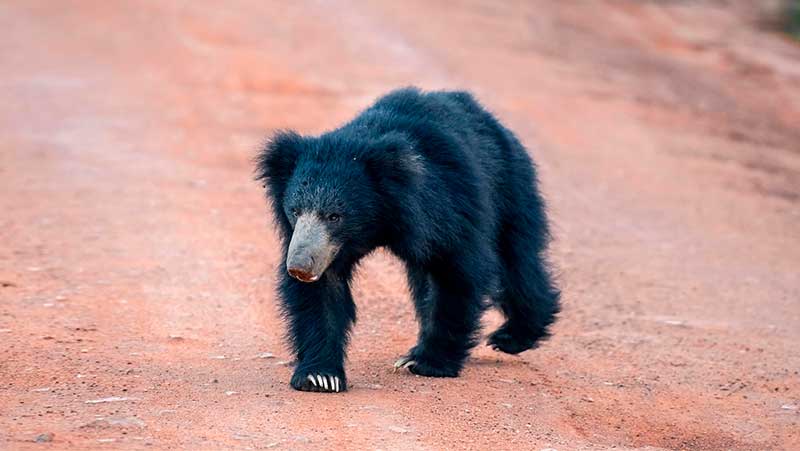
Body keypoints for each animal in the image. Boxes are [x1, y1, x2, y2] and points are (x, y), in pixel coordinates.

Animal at [256, 87, 560, 393]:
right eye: (295, 211)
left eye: (334, 216)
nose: (299, 267)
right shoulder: (327, 248)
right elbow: (323, 292)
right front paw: (320, 376)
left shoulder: (445, 208)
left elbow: (457, 271)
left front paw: (428, 363)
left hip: (510, 187)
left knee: (516, 259)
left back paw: (512, 336)